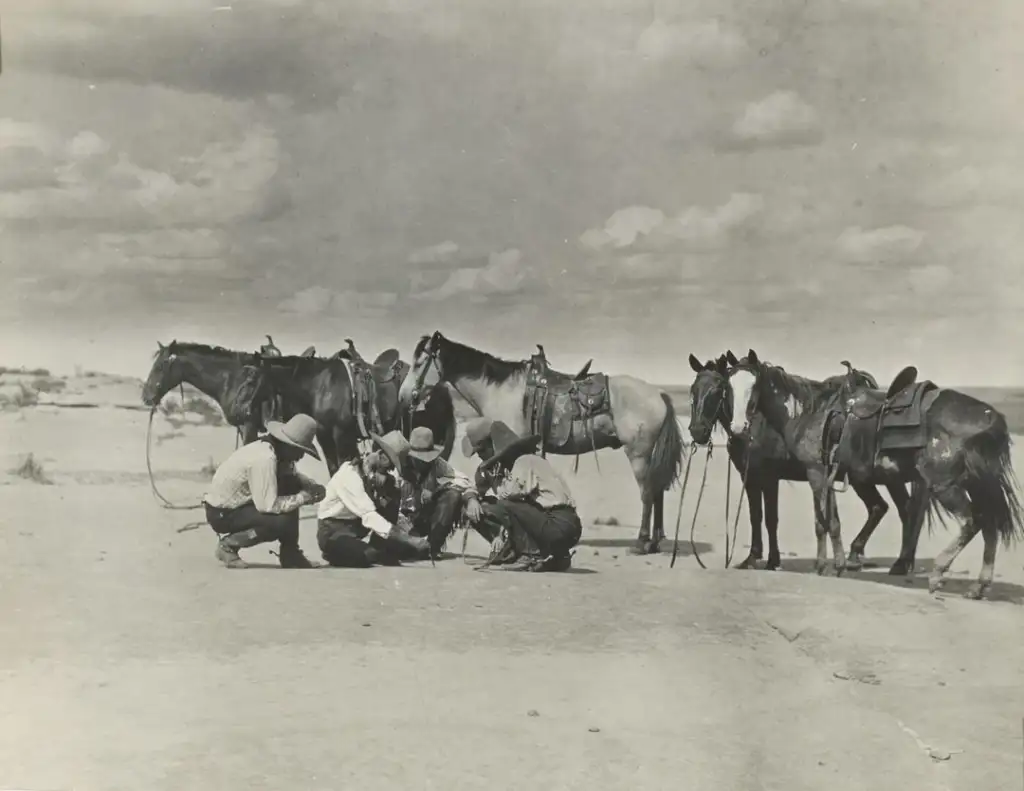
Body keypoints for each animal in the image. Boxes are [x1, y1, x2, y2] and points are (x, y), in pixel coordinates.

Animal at [395, 329, 684, 553]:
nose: (403, 396)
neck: (501, 390)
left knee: (647, 493)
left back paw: (642, 542)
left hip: (639, 453)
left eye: (420, 363)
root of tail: (659, 393)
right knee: (657, 491)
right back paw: (654, 542)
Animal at [684, 352, 909, 569]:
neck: (760, 427)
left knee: (901, 508)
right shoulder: (750, 477)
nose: (697, 431)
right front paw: (756, 558)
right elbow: (756, 516)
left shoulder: (768, 478)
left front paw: (768, 560)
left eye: (718, 390)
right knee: (880, 507)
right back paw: (858, 555)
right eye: (693, 389)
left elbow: (770, 518)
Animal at [724, 348, 1019, 602]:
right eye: (728, 387)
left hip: (945, 485)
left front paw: (826, 566)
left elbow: (822, 522)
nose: (738, 428)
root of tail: (990, 417)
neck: (810, 412)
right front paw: (834, 564)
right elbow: (831, 522)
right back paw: (978, 586)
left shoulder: (816, 473)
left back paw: (937, 574)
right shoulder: (827, 474)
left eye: (753, 387)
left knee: (971, 521)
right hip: (977, 484)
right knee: (989, 524)